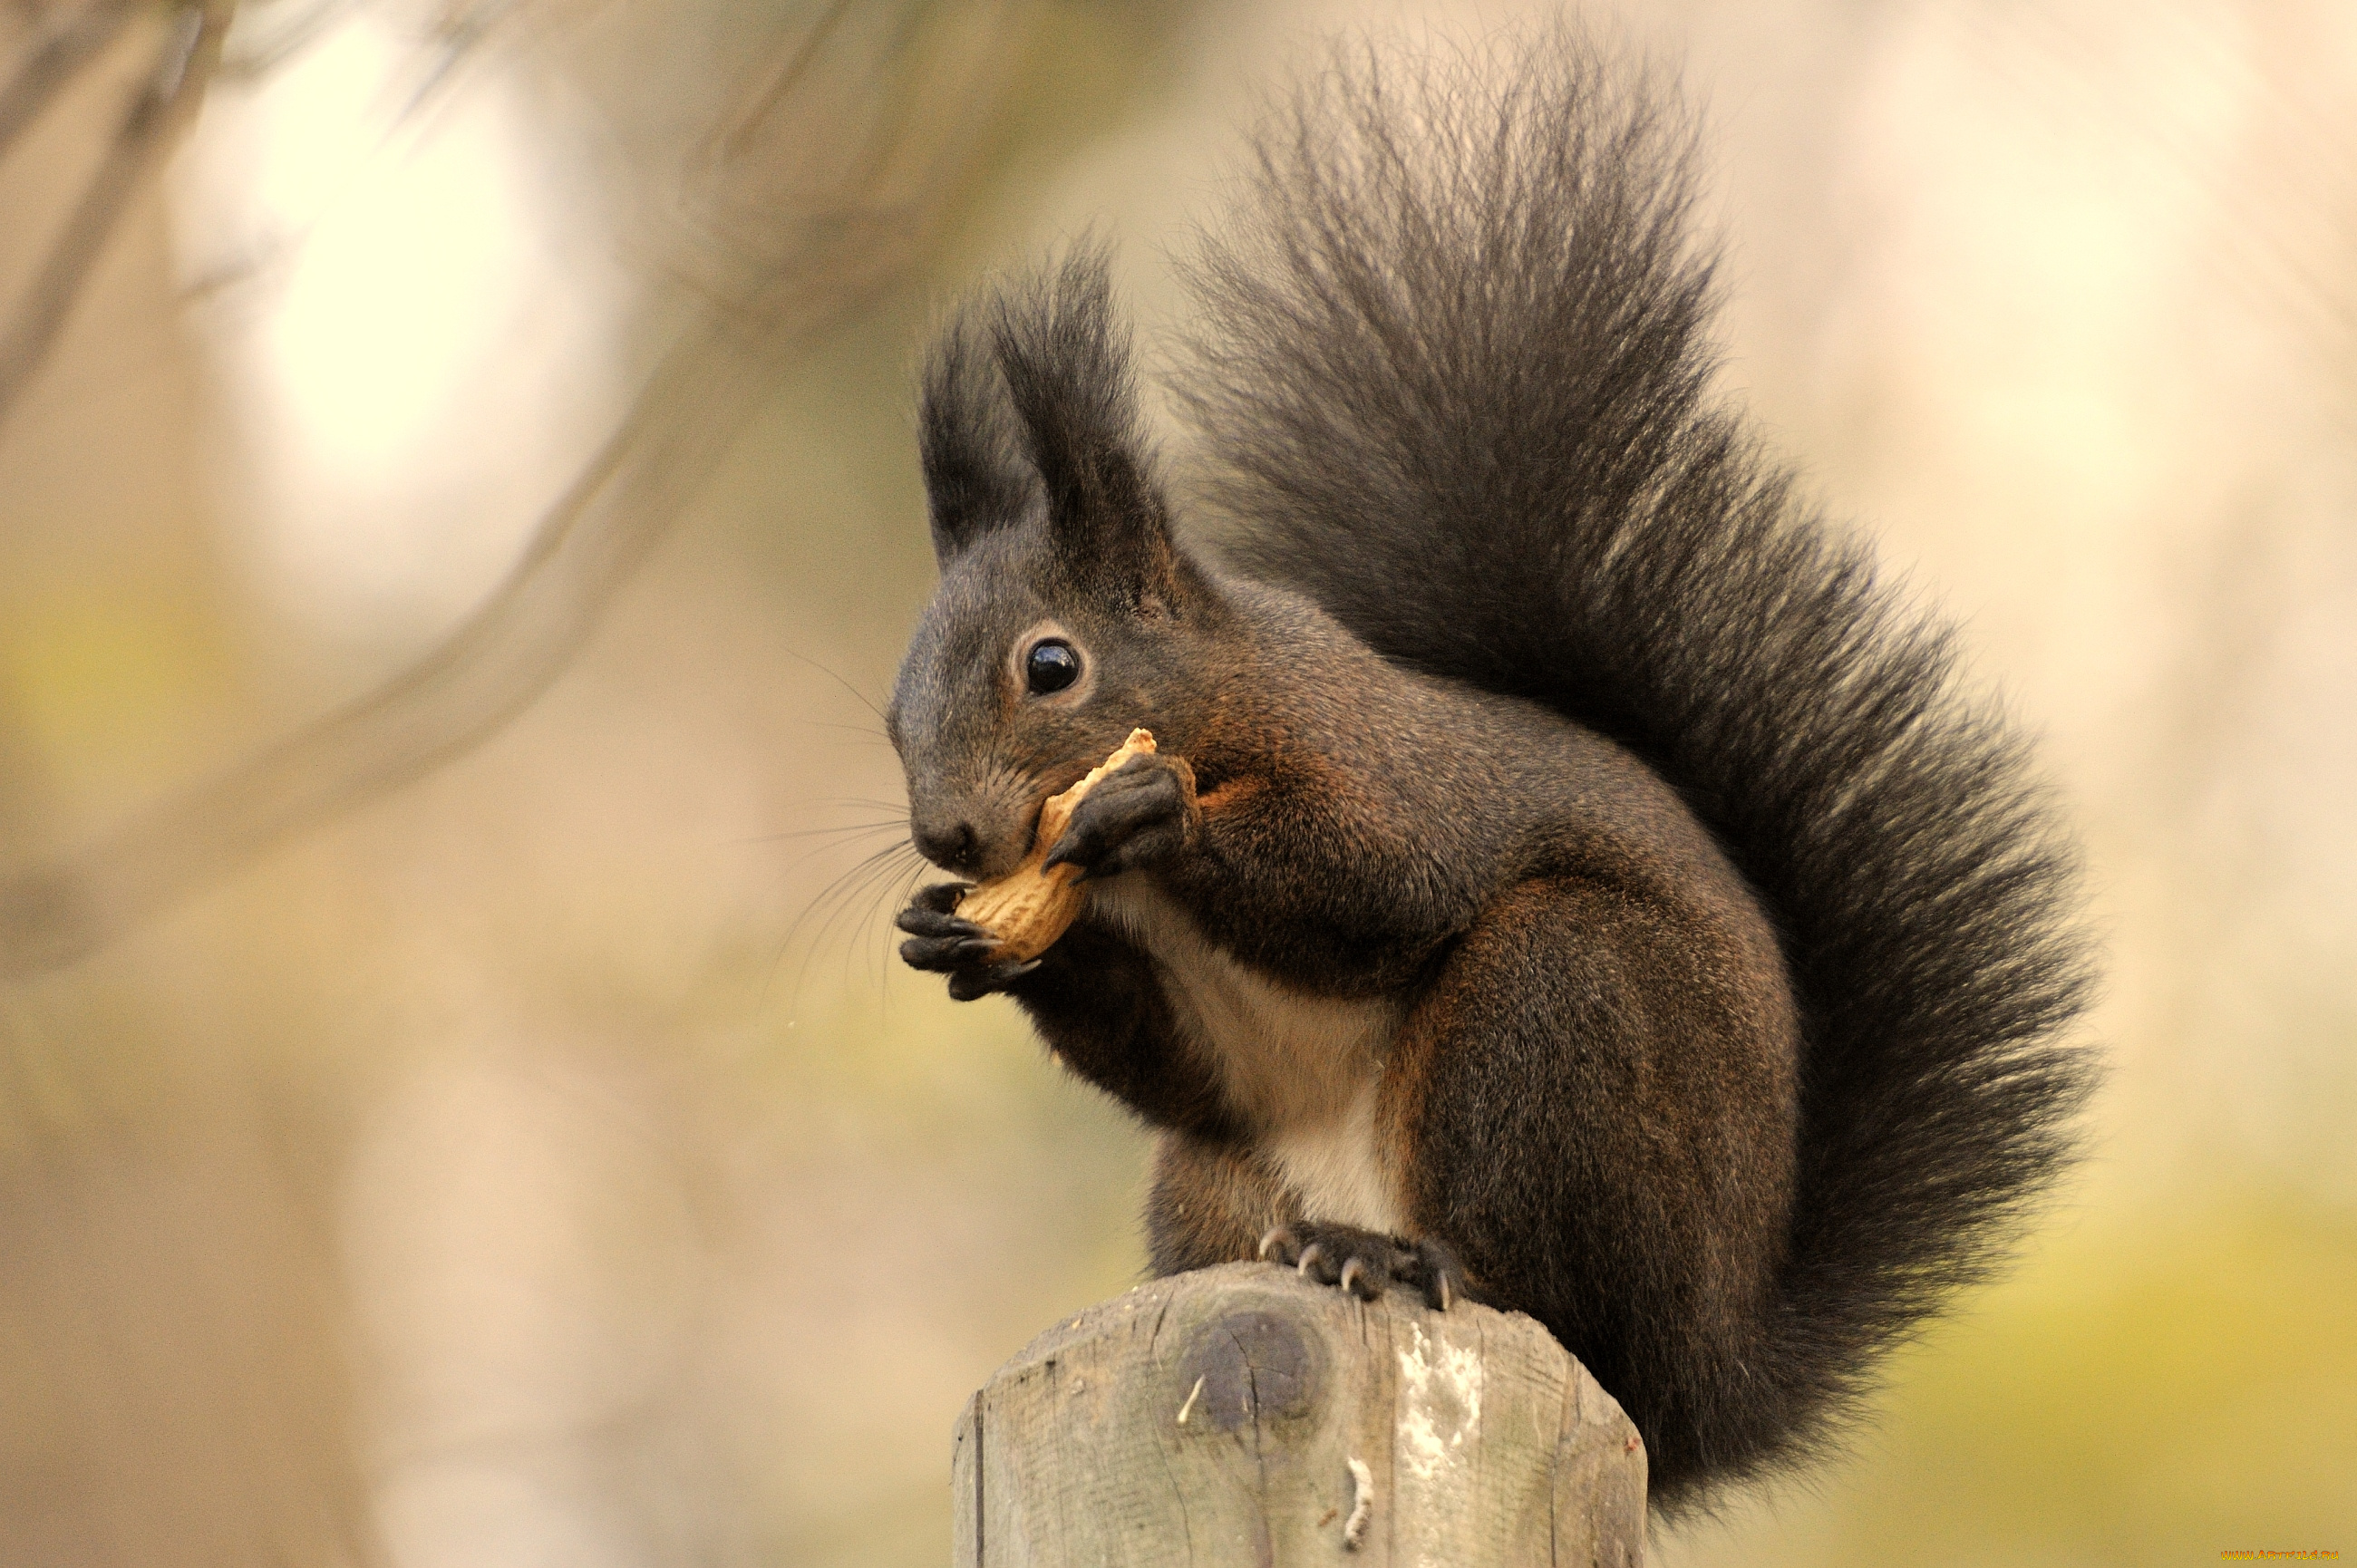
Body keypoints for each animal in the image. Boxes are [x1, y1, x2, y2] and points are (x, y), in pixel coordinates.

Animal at [886, 34, 2102, 1508]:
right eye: (889, 712)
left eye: (1051, 666)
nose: (948, 838)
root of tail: (1699, 1380)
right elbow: (1175, 1066)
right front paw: (957, 938)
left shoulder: (1382, 759)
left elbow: (1384, 883)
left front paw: (1150, 812)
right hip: (1213, 1182)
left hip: (1561, 1011)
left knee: (1533, 1274)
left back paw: (1404, 1256)